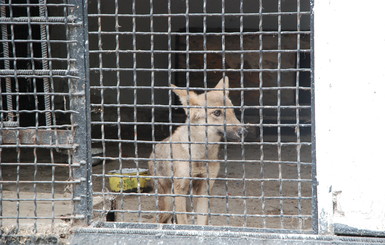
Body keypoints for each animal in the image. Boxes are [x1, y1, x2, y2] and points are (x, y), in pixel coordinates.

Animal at [148, 76, 246, 226]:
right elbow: (183, 223)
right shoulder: (180, 190)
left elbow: (200, 222)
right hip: (169, 204)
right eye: (217, 112)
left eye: (232, 111)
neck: (200, 156)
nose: (243, 131)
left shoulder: (205, 189)